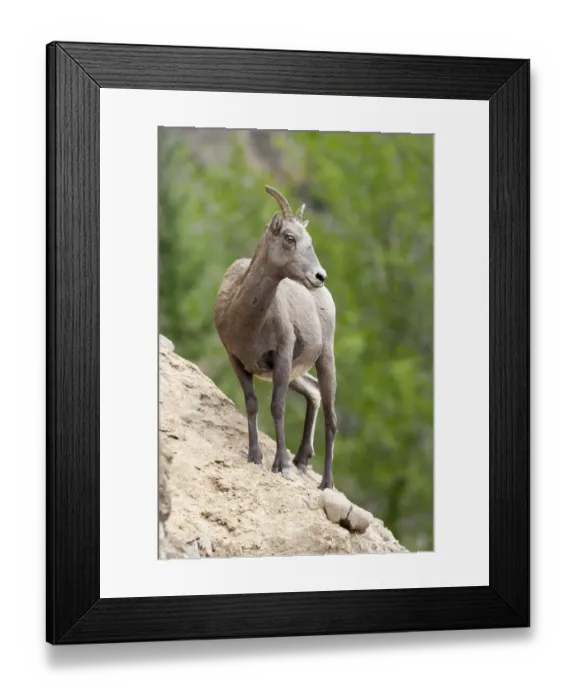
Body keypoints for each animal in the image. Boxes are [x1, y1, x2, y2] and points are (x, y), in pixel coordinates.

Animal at [214, 185, 337, 490]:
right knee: (314, 392)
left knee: (331, 417)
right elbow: (252, 404)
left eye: (309, 240)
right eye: (289, 238)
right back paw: (302, 459)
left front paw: (281, 465)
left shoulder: (281, 357)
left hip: (325, 359)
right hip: (296, 372)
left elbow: (277, 407)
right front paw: (254, 457)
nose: (320, 276)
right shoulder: (237, 360)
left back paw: (325, 483)